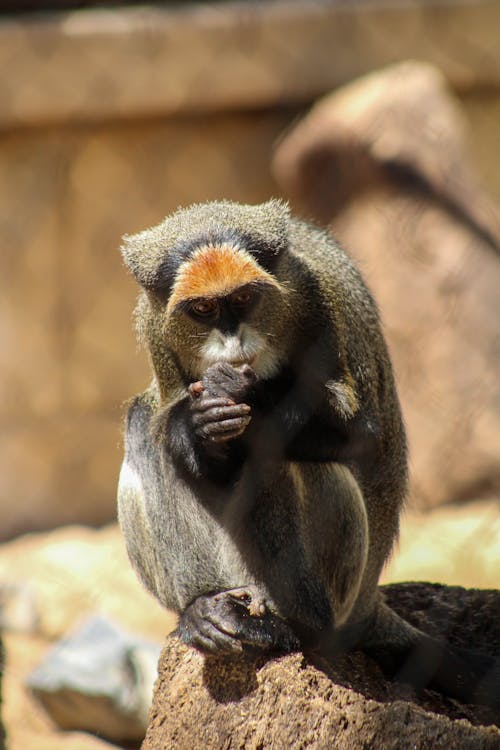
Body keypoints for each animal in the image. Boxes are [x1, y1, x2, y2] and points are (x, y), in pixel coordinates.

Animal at [118, 201, 500, 712]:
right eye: (203, 309)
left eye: (244, 299)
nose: (233, 344)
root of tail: (368, 607)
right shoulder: (156, 330)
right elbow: (178, 431)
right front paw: (197, 426)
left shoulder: (319, 300)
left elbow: (361, 433)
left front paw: (245, 398)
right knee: (143, 424)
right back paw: (205, 610)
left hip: (337, 597)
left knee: (292, 456)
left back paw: (293, 628)